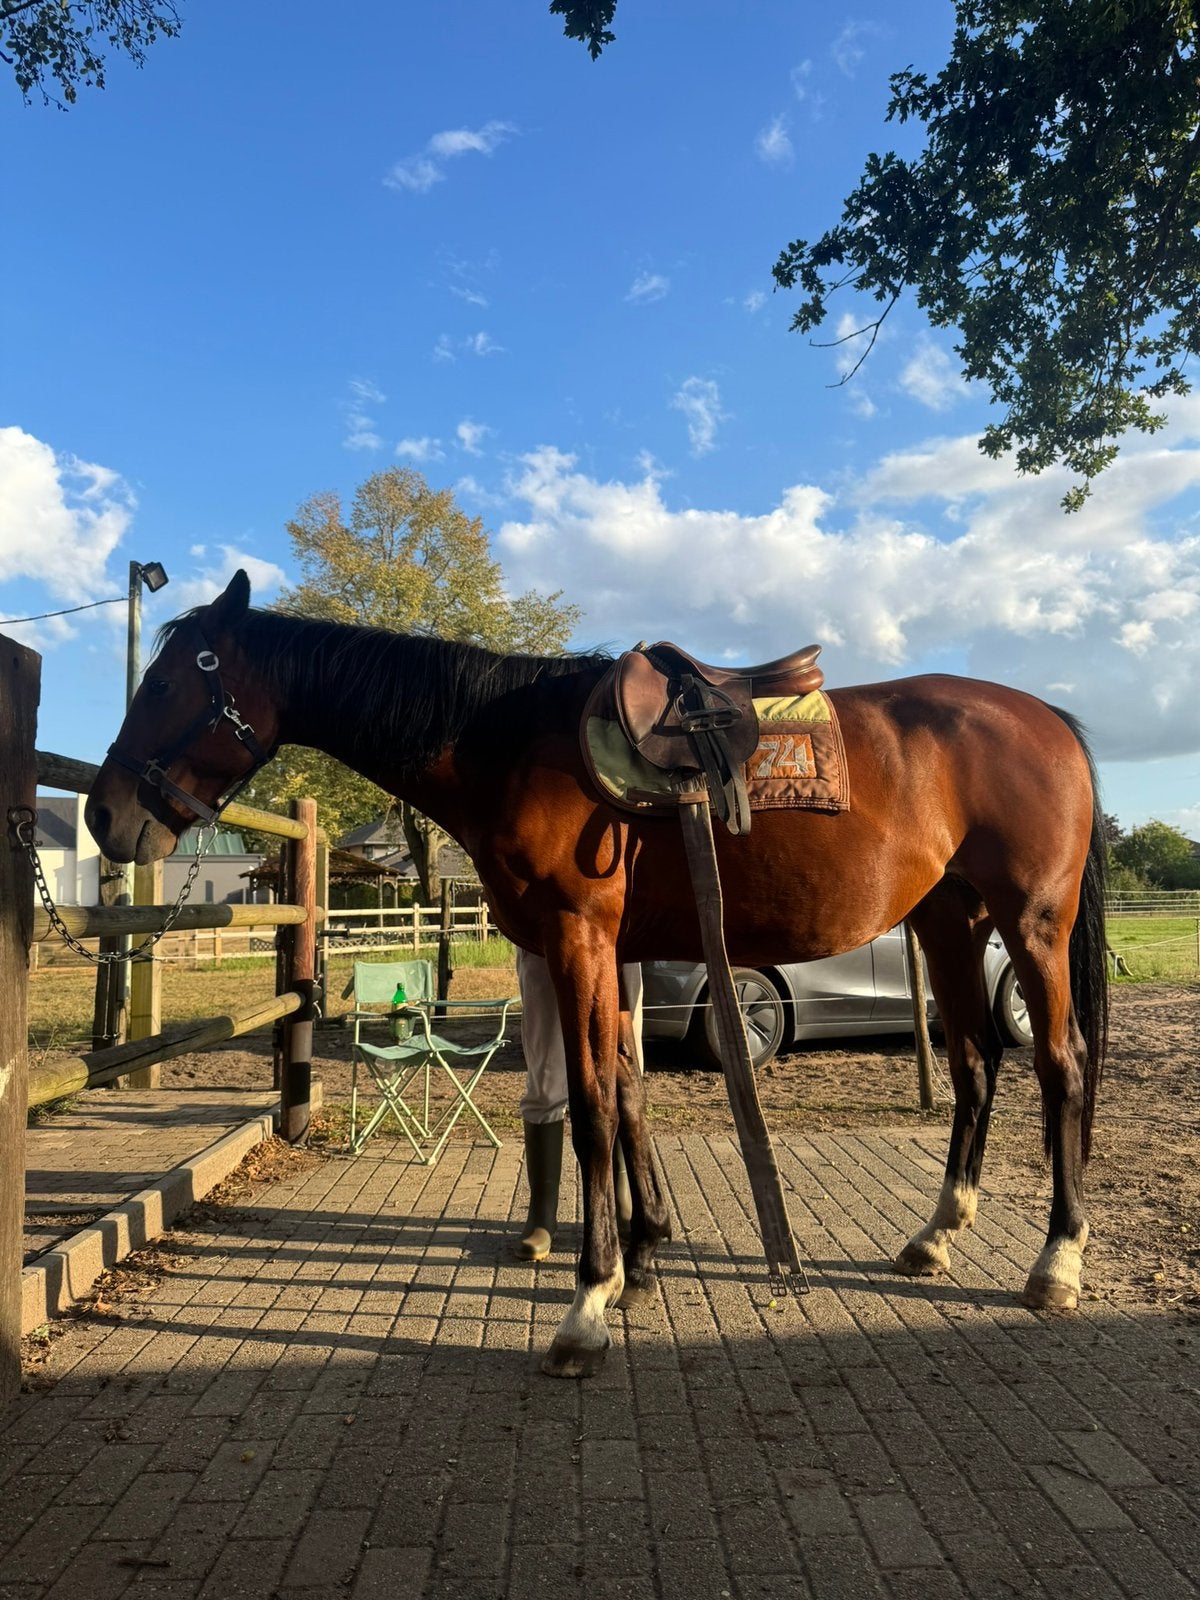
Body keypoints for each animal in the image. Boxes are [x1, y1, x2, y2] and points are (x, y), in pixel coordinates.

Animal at [86, 571, 1108, 1378]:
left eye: (167, 681)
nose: (104, 814)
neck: (509, 743)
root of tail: (1045, 718)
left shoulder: (580, 938)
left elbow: (588, 1107)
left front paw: (586, 1303)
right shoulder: (608, 954)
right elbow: (625, 1093)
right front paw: (639, 1257)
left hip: (1032, 924)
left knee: (1060, 1061)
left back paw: (1056, 1262)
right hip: (950, 923)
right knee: (976, 1063)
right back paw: (937, 1234)